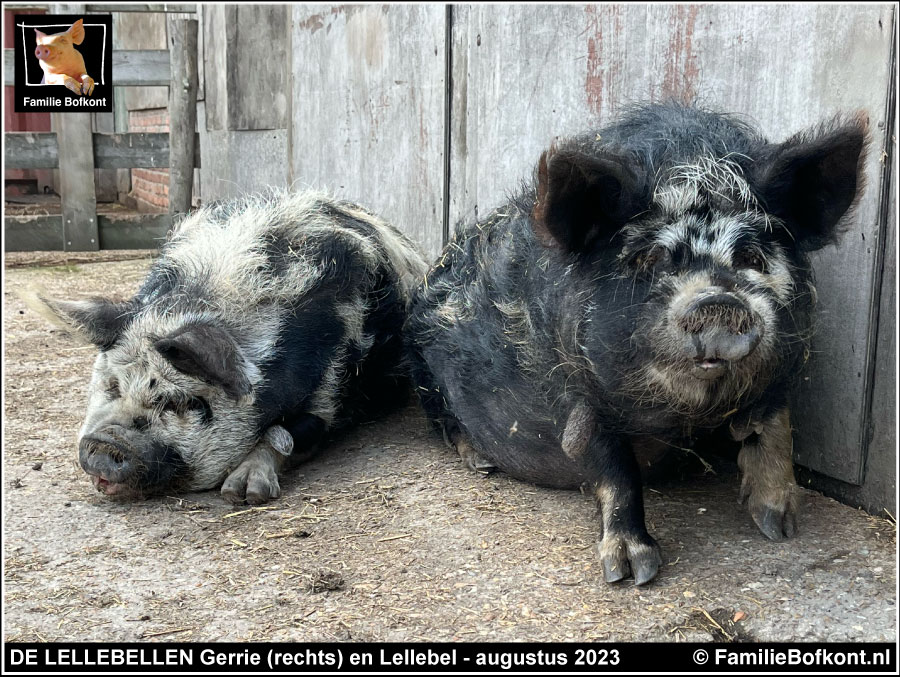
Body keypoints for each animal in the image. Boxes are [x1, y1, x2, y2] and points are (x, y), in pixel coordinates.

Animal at [37, 190, 428, 502]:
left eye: (183, 402)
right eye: (113, 385)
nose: (107, 441)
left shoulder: (332, 384)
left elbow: (286, 434)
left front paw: (243, 493)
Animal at [406, 103, 864, 584]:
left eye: (751, 257)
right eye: (648, 259)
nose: (717, 301)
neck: (679, 418)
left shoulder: (784, 367)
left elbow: (775, 422)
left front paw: (781, 525)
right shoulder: (574, 391)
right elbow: (614, 468)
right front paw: (631, 572)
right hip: (423, 377)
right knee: (447, 424)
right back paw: (481, 463)